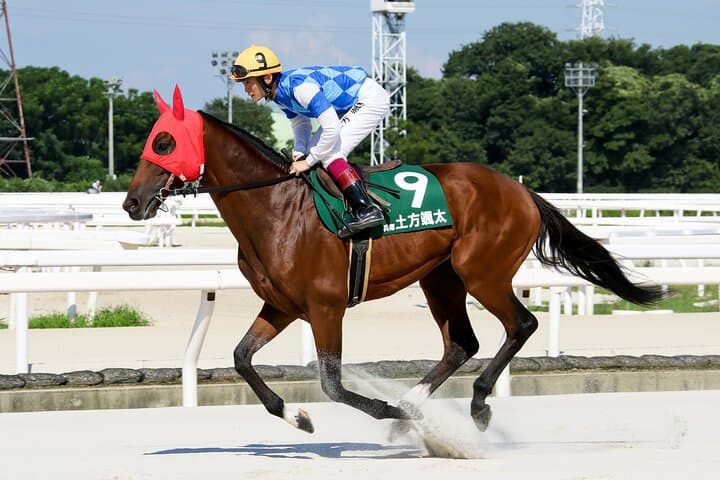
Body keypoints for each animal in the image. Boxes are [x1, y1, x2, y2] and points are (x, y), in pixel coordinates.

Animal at [123, 85, 663, 435]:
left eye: (165, 142)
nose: (132, 203)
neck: (276, 208)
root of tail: (522, 190)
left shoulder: (325, 307)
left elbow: (332, 383)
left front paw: (386, 413)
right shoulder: (282, 305)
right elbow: (241, 358)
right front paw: (297, 416)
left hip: (481, 272)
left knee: (521, 325)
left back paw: (473, 404)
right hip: (440, 278)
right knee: (461, 343)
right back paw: (415, 403)